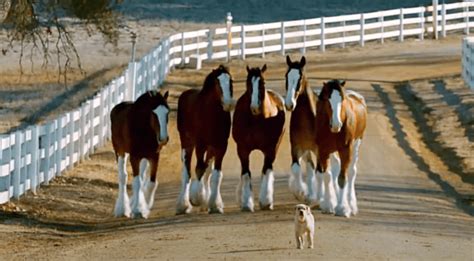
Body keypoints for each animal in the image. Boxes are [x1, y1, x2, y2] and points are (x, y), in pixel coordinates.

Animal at [110, 89, 169, 217]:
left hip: (144, 157)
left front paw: (144, 205)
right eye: (154, 113)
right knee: (123, 176)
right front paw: (137, 209)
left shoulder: (154, 156)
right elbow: (137, 182)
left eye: (167, 112)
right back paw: (122, 209)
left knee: (141, 176)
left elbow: (151, 183)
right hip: (120, 152)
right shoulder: (134, 157)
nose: (163, 138)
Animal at [175, 63, 234, 213]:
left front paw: (215, 205)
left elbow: (216, 174)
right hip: (187, 143)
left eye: (231, 81)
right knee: (187, 171)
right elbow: (199, 169)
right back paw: (183, 205)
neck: (209, 114)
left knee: (207, 170)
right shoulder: (200, 145)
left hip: (210, 147)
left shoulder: (221, 146)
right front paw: (197, 198)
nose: (228, 103)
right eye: (217, 83)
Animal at [284, 55, 338, 207]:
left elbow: (320, 173)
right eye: (286, 76)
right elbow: (297, 169)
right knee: (310, 167)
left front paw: (319, 199)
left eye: (300, 77)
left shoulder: (320, 150)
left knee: (332, 169)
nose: (289, 104)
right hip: (308, 150)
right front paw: (301, 193)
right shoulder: (296, 147)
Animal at [316, 79, 368, 217]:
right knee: (335, 169)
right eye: (327, 99)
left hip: (357, 144)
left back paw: (352, 205)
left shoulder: (345, 149)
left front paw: (343, 208)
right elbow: (327, 175)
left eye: (342, 99)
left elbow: (342, 178)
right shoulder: (323, 151)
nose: (336, 124)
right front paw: (329, 205)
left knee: (351, 172)